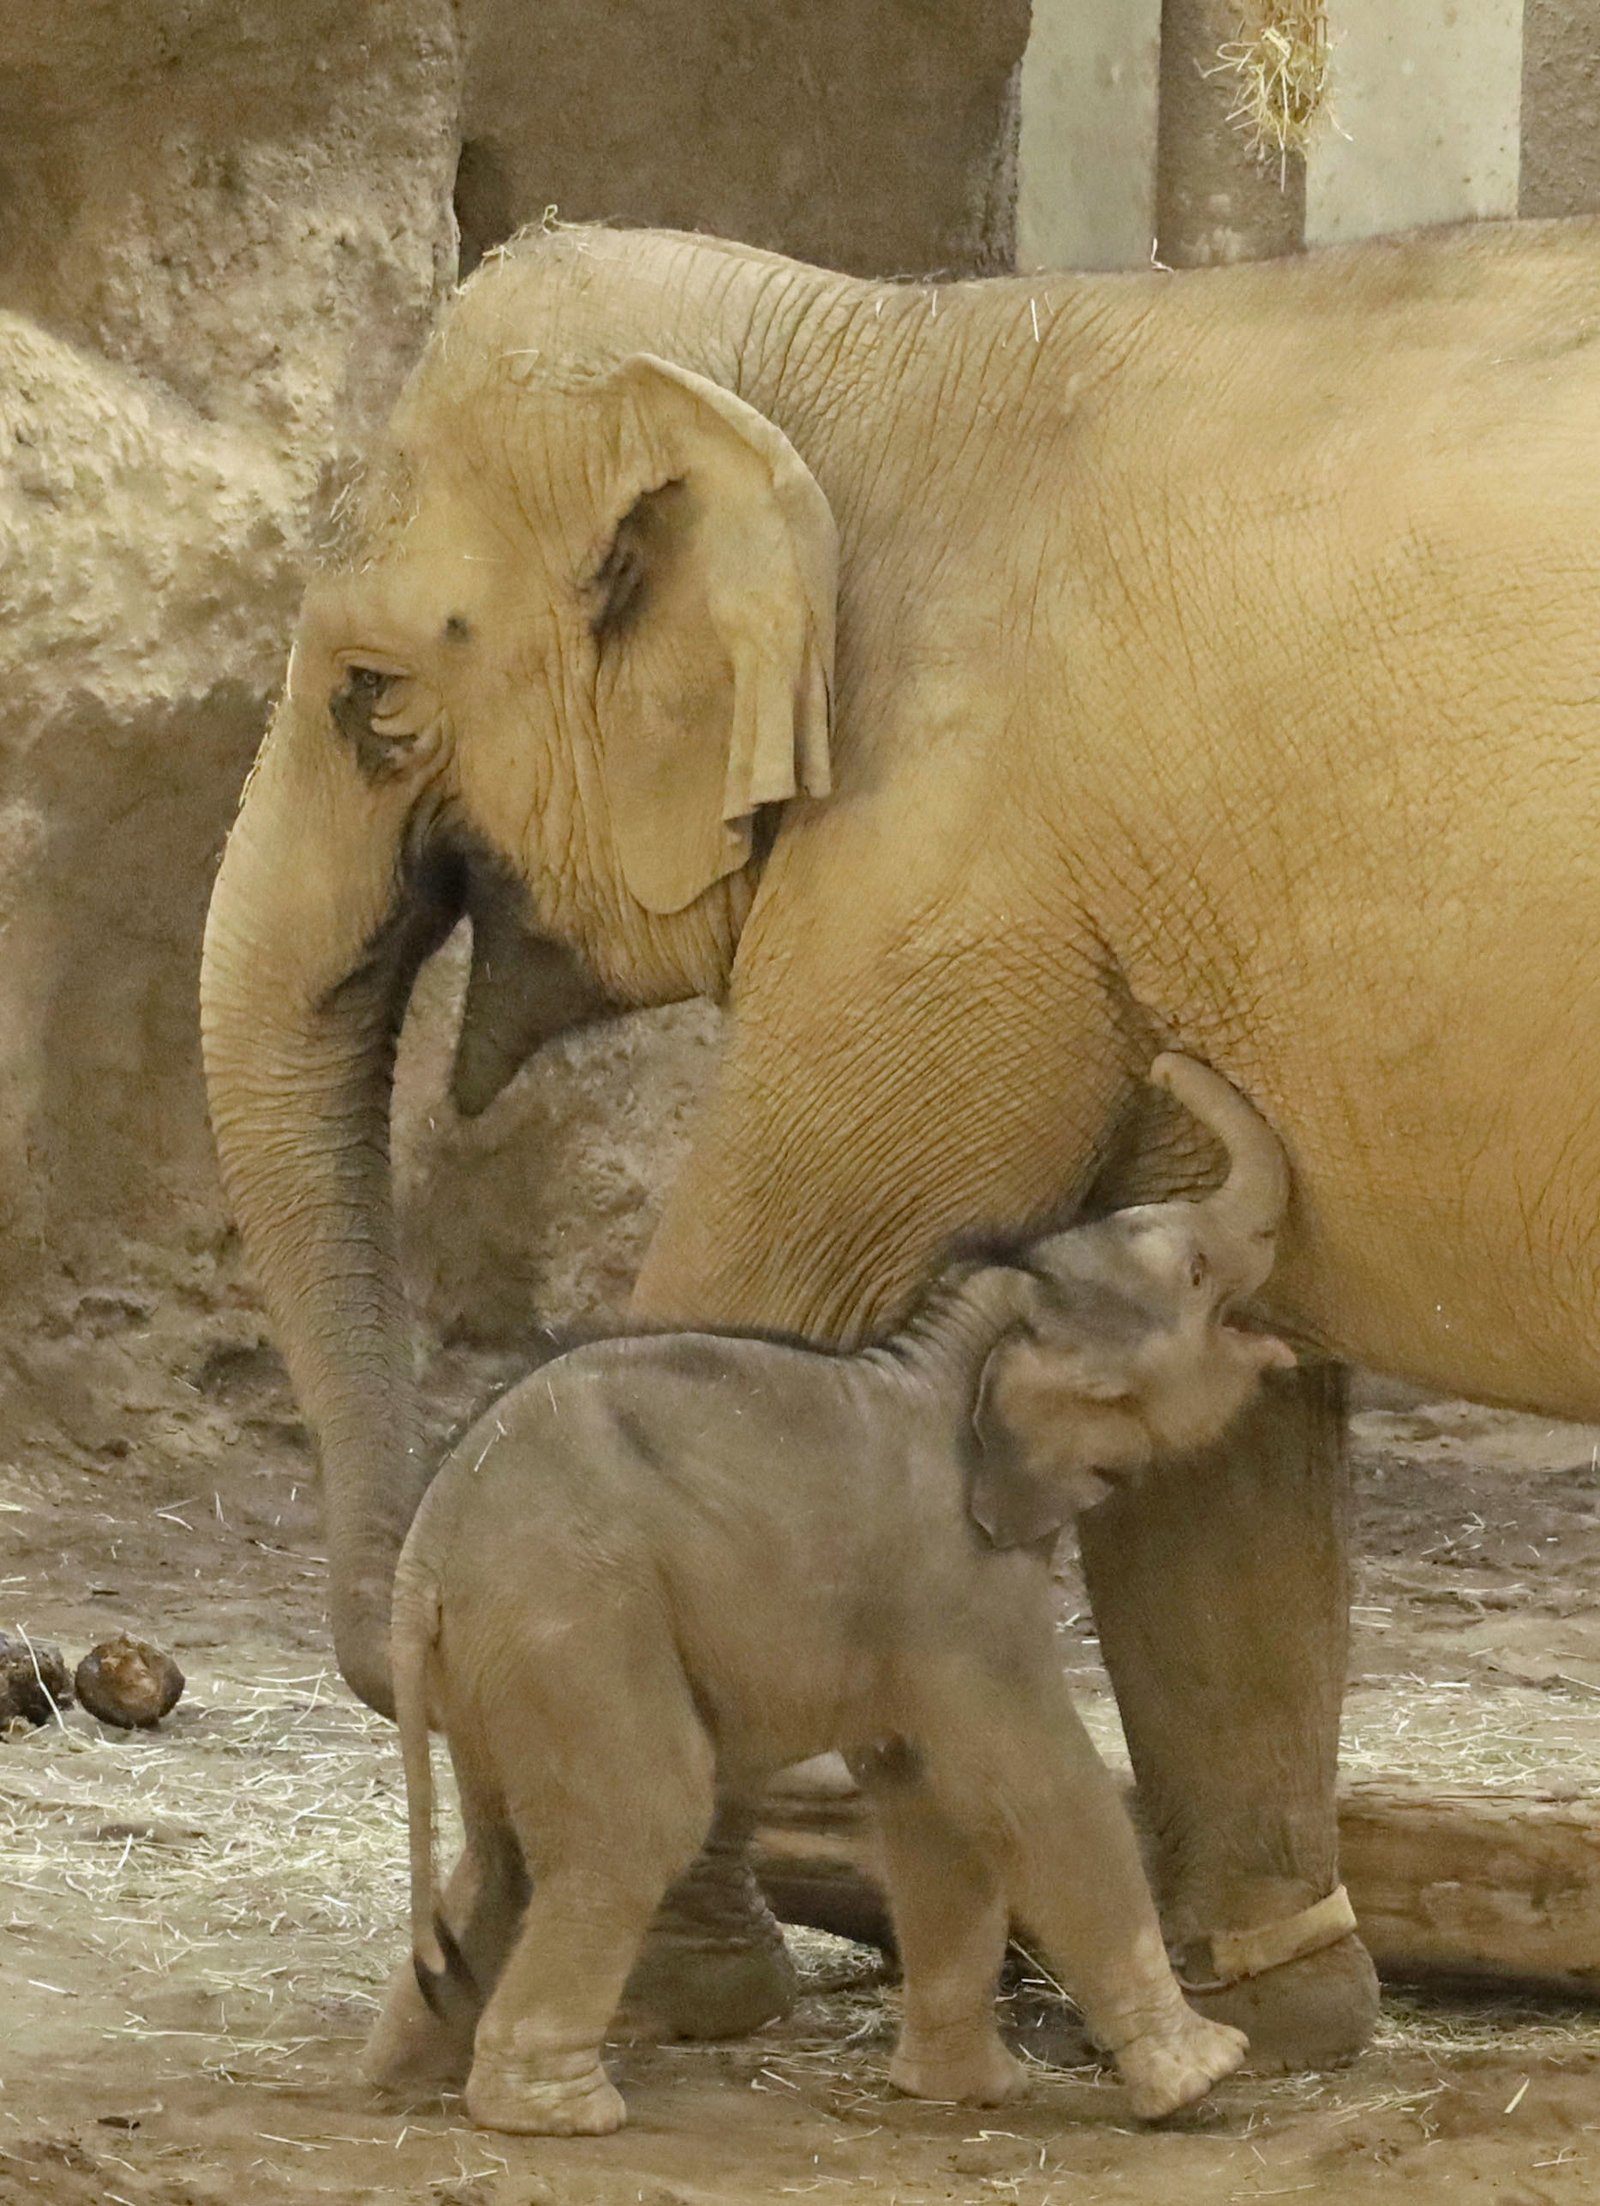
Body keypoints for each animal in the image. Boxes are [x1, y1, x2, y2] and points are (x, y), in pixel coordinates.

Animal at [377, 1050, 1297, 2135]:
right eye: (1194, 1275)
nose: (1164, 1062)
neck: (966, 1340)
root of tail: (423, 1561)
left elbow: (931, 1801)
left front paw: (965, 2093)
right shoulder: (954, 1583)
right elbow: (1033, 1780)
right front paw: (1205, 2072)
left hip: (502, 1658)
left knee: (503, 1849)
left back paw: (407, 2071)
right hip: (575, 1623)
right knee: (640, 1814)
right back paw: (562, 2111)